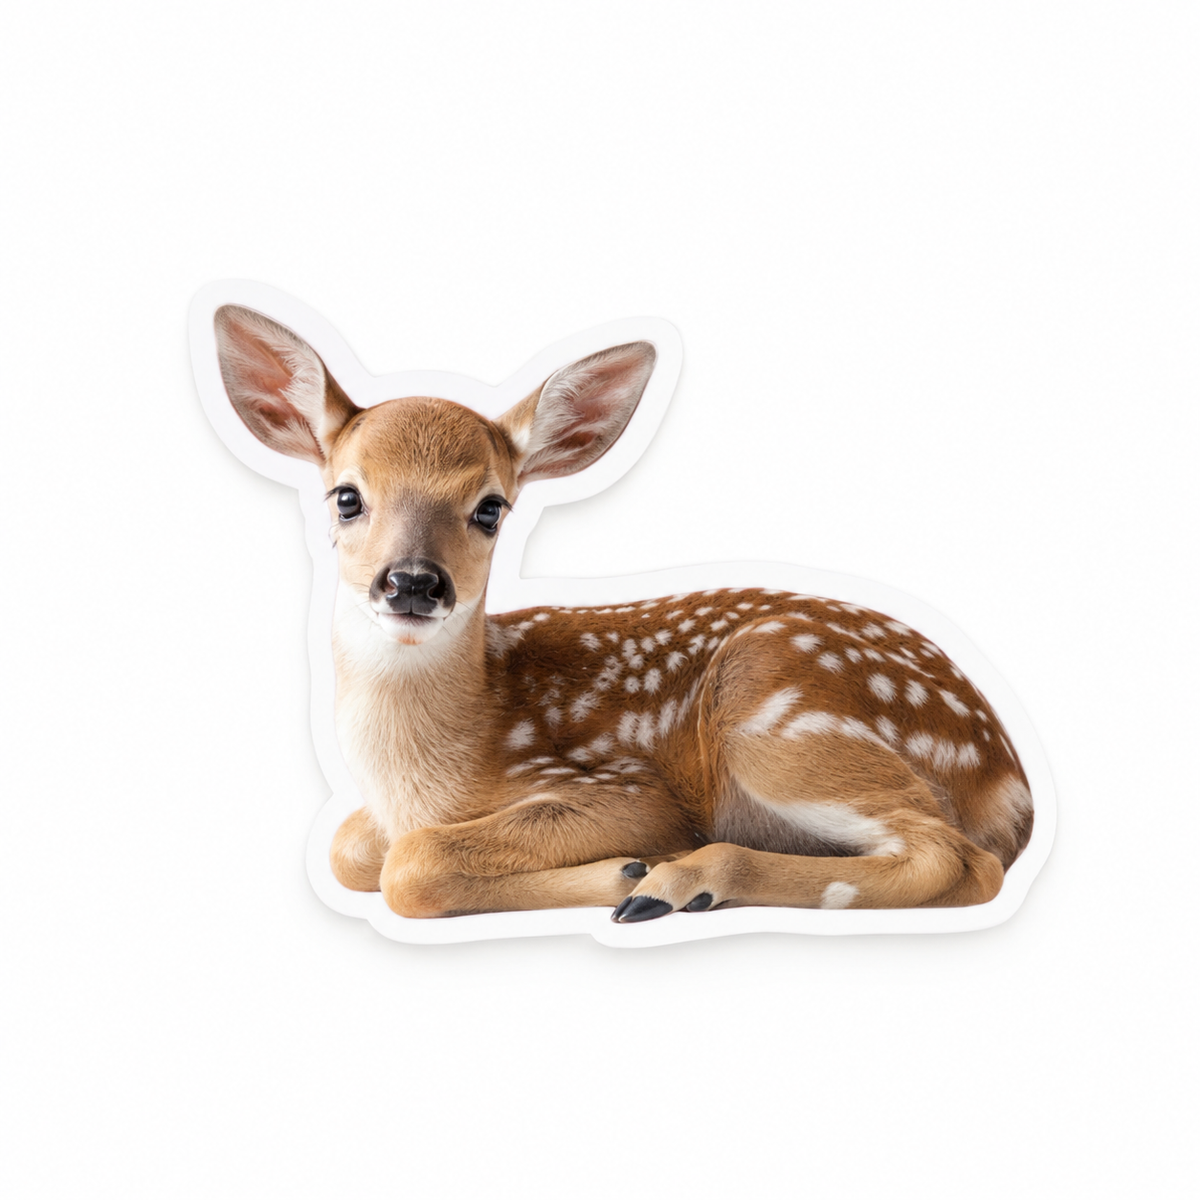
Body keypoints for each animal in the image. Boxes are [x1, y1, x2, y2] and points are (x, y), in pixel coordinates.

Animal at [212, 303, 1034, 923]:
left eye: (491, 508)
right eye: (346, 496)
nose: (413, 582)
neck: (428, 773)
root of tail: (1011, 784)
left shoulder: (625, 788)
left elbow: (408, 866)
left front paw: (625, 868)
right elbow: (348, 849)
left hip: (774, 711)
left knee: (959, 861)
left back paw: (672, 882)